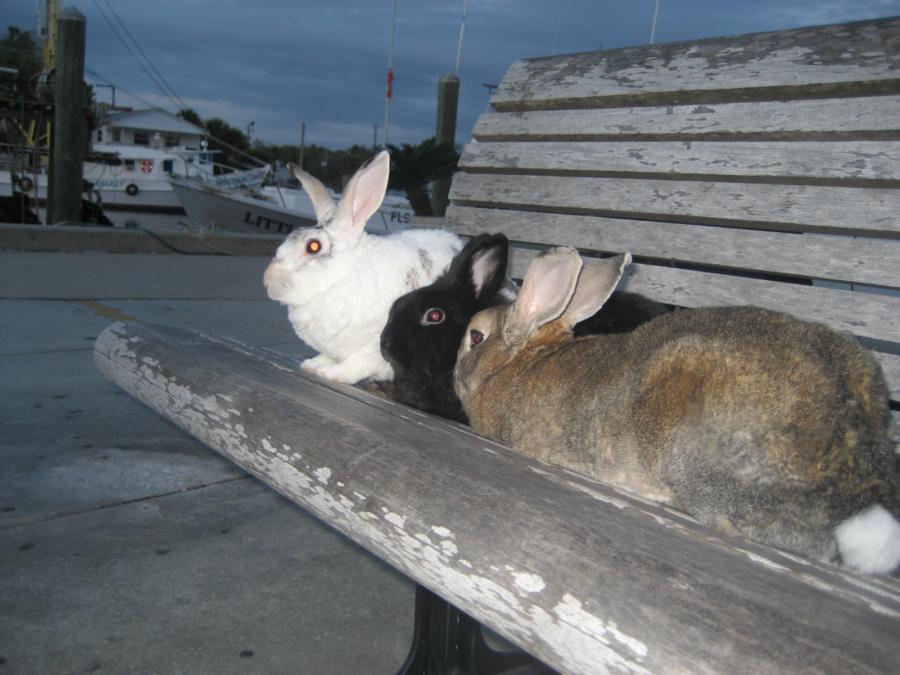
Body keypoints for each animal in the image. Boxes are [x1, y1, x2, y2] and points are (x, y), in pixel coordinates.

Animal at [260, 153, 458, 386]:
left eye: (313, 246)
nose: (267, 279)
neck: (343, 276)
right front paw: (313, 365)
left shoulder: (376, 346)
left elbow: (356, 364)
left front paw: (331, 373)